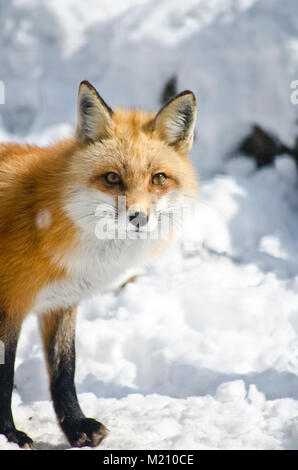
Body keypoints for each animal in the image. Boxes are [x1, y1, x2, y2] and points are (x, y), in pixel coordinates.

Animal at [0, 81, 198, 448]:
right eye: (112, 178)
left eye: (158, 178)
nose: (138, 217)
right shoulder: (10, 304)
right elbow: (5, 376)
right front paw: (10, 434)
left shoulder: (61, 303)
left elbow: (65, 371)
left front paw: (76, 427)